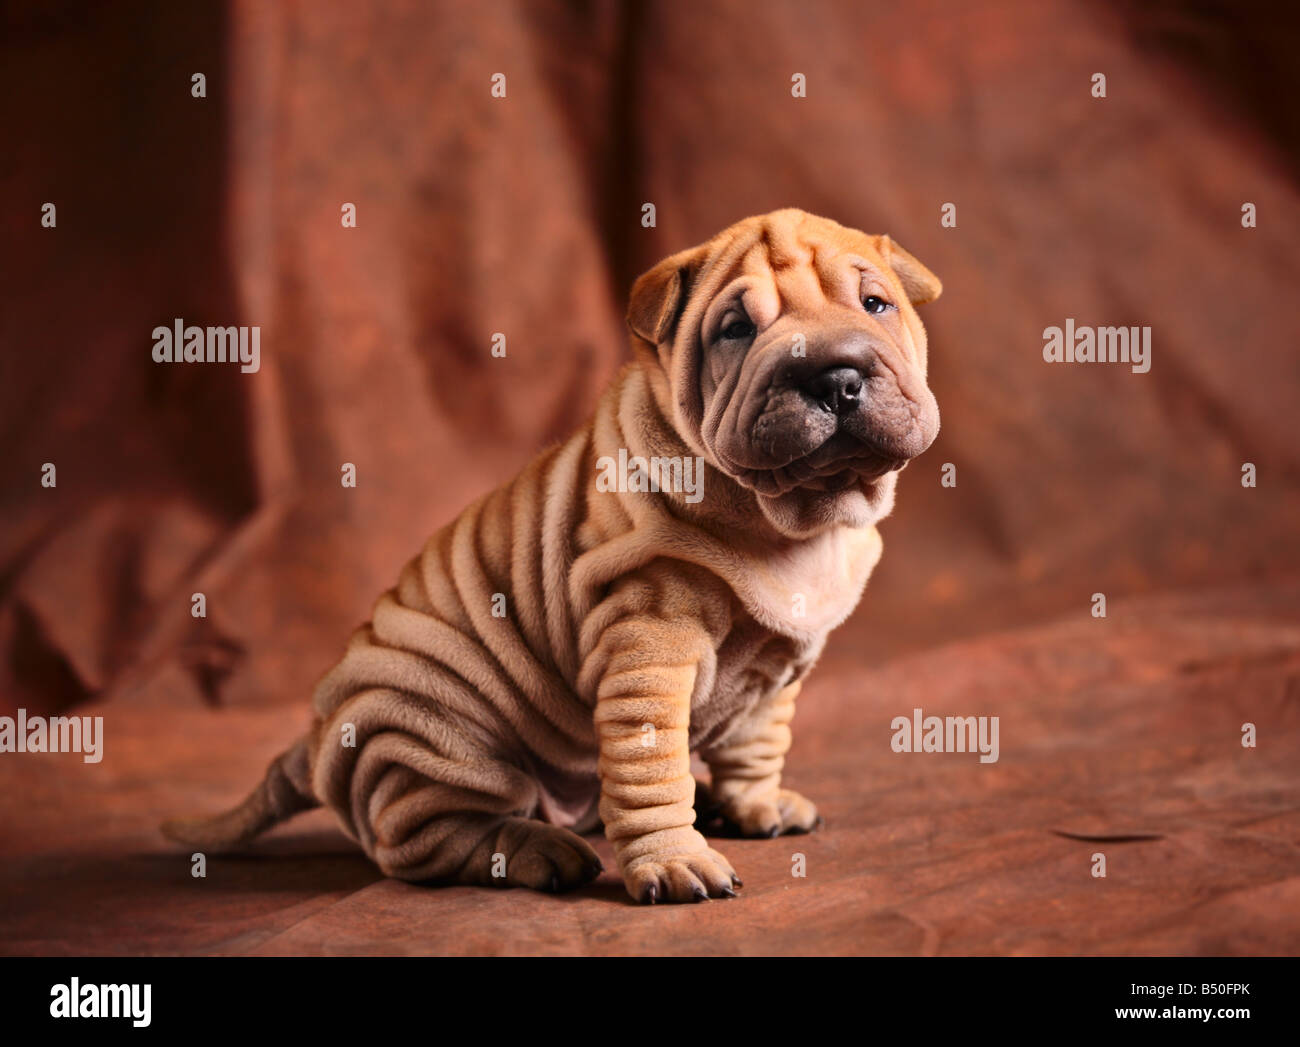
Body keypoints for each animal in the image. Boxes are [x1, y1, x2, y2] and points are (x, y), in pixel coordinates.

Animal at [162, 210, 941, 900]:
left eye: (876, 304)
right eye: (736, 330)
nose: (836, 376)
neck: (797, 521)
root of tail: (316, 733)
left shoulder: (775, 670)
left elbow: (755, 743)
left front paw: (755, 803)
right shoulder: (649, 649)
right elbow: (650, 768)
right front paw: (675, 860)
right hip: (434, 736)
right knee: (430, 838)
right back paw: (539, 849)